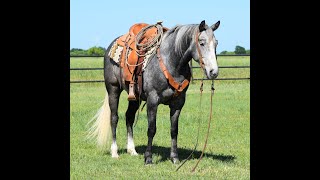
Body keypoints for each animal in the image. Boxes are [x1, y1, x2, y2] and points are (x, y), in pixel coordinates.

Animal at [89, 19, 221, 165]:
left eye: (216, 43)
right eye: (202, 42)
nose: (213, 72)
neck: (171, 62)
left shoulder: (178, 103)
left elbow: (174, 130)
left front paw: (174, 158)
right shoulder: (153, 100)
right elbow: (151, 129)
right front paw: (148, 158)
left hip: (134, 97)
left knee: (129, 117)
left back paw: (132, 150)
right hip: (113, 89)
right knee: (114, 118)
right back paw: (114, 152)